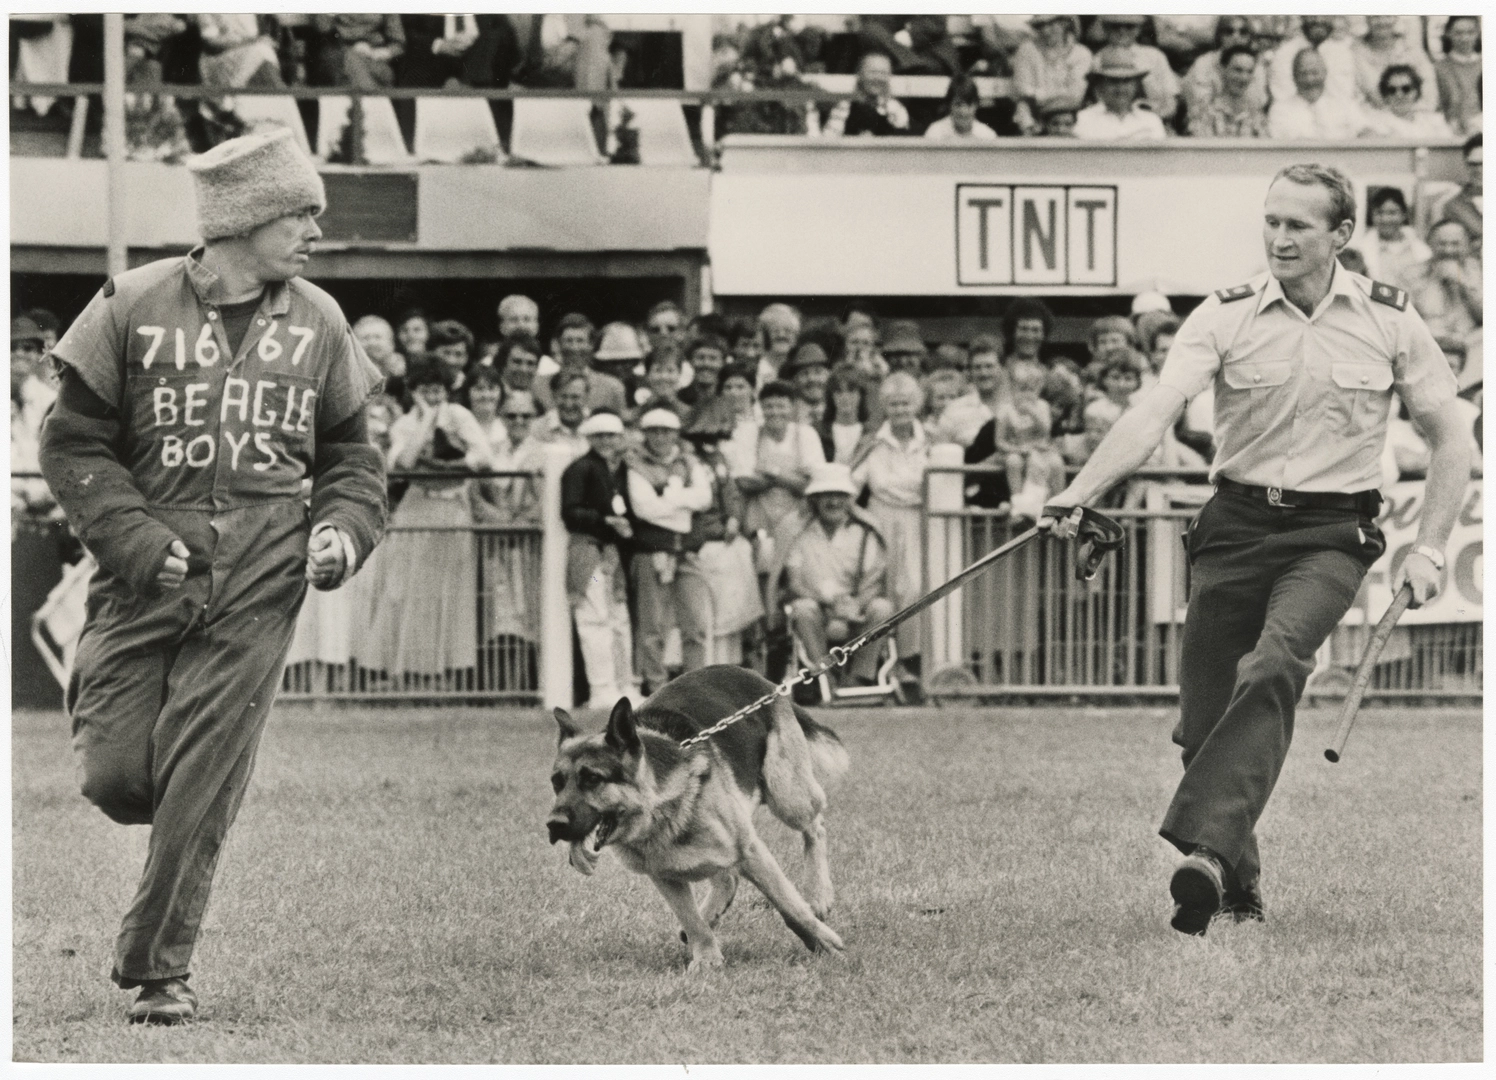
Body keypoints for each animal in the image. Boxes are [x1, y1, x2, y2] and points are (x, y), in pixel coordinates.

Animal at [547, 664, 855, 969]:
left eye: (592, 779)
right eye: (556, 782)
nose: (553, 825)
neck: (661, 808)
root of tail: (759, 678)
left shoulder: (751, 851)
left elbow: (789, 906)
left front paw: (822, 942)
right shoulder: (663, 876)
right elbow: (692, 920)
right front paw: (707, 959)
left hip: (787, 794)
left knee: (816, 827)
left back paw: (818, 894)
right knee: (727, 879)